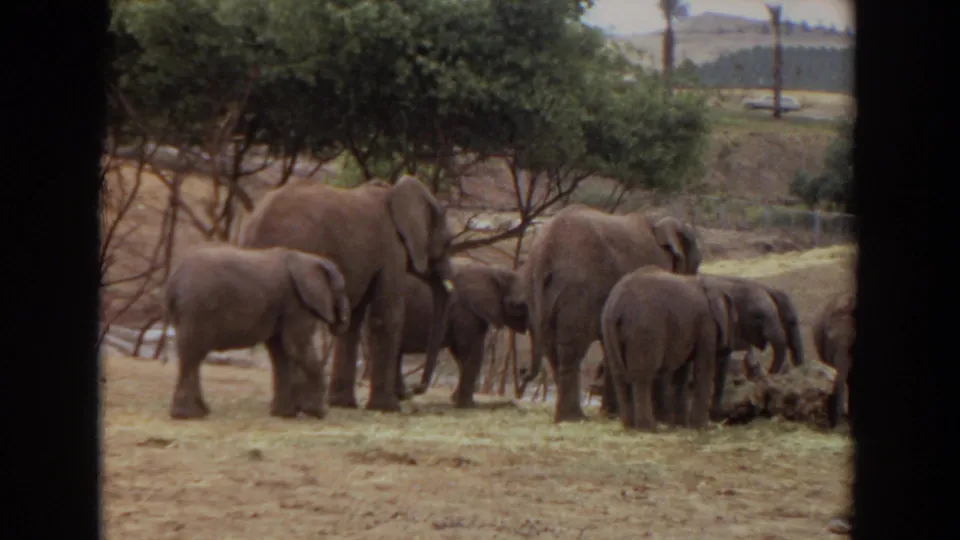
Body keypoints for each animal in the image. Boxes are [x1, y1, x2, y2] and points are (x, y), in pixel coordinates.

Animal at [163, 244, 351, 419]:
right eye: (341, 290)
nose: (342, 322)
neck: (309, 259)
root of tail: (173, 281)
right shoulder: (296, 304)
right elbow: (296, 346)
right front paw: (317, 413)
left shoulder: (283, 305)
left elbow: (280, 351)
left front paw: (284, 415)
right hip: (198, 307)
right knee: (194, 353)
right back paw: (188, 415)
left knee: (192, 355)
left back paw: (200, 412)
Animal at [238, 175, 456, 414]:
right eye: (448, 242)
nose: (414, 390)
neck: (394, 191)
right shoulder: (392, 250)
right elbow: (387, 317)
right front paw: (389, 407)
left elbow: (352, 320)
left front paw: (343, 403)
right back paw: (302, 406)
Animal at [382, 259, 528, 408]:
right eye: (517, 305)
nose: (415, 387)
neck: (493, 271)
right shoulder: (464, 310)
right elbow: (469, 348)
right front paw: (467, 404)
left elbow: (460, 351)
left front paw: (456, 399)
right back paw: (405, 395)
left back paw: (403, 395)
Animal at [508, 204, 703, 423]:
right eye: (696, 264)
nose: (522, 371)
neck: (658, 223)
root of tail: (545, 253)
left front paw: (611, 413)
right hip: (579, 290)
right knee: (571, 350)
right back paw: (574, 417)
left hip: (536, 290)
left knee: (551, 348)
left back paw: (569, 415)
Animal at [600, 266, 738, 431]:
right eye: (735, 322)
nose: (719, 419)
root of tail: (617, 306)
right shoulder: (707, 324)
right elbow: (703, 366)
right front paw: (702, 427)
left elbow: (682, 370)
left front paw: (682, 424)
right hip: (645, 330)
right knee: (642, 377)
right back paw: (649, 428)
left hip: (608, 329)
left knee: (619, 376)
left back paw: (629, 427)